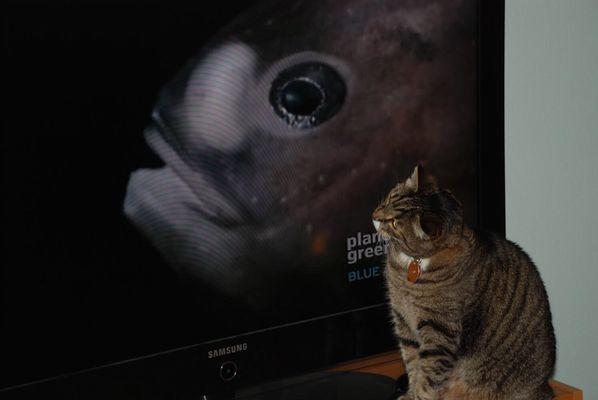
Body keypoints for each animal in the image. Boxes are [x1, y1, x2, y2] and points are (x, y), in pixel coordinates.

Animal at [376, 166, 556, 400]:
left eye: (394, 223)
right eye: (389, 198)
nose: (374, 217)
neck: (412, 265)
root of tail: (545, 387)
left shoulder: (440, 331)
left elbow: (428, 374)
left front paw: (417, 396)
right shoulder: (403, 322)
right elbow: (413, 363)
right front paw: (410, 392)